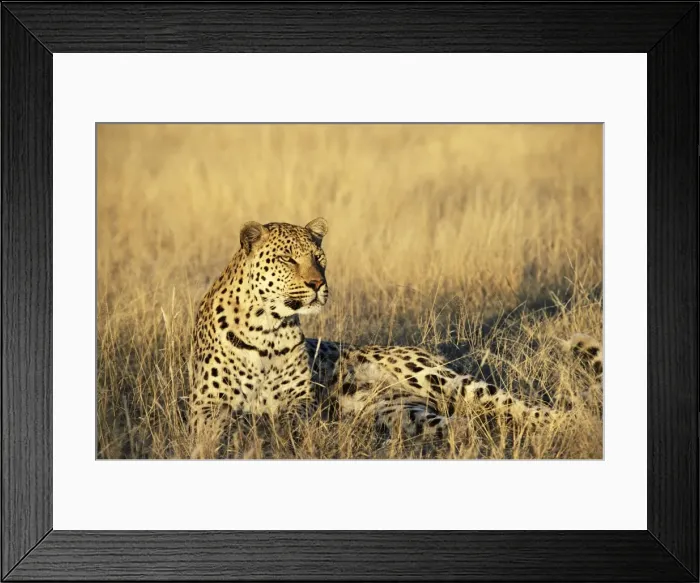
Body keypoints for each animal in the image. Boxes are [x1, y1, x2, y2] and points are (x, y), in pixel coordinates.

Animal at [188, 217, 602, 458]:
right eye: (288, 259)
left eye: (319, 258)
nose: (318, 284)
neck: (269, 328)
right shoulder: (205, 405)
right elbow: (224, 427)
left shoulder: (299, 404)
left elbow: (279, 423)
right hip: (402, 412)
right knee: (464, 426)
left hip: (444, 381)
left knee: (522, 406)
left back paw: (575, 425)